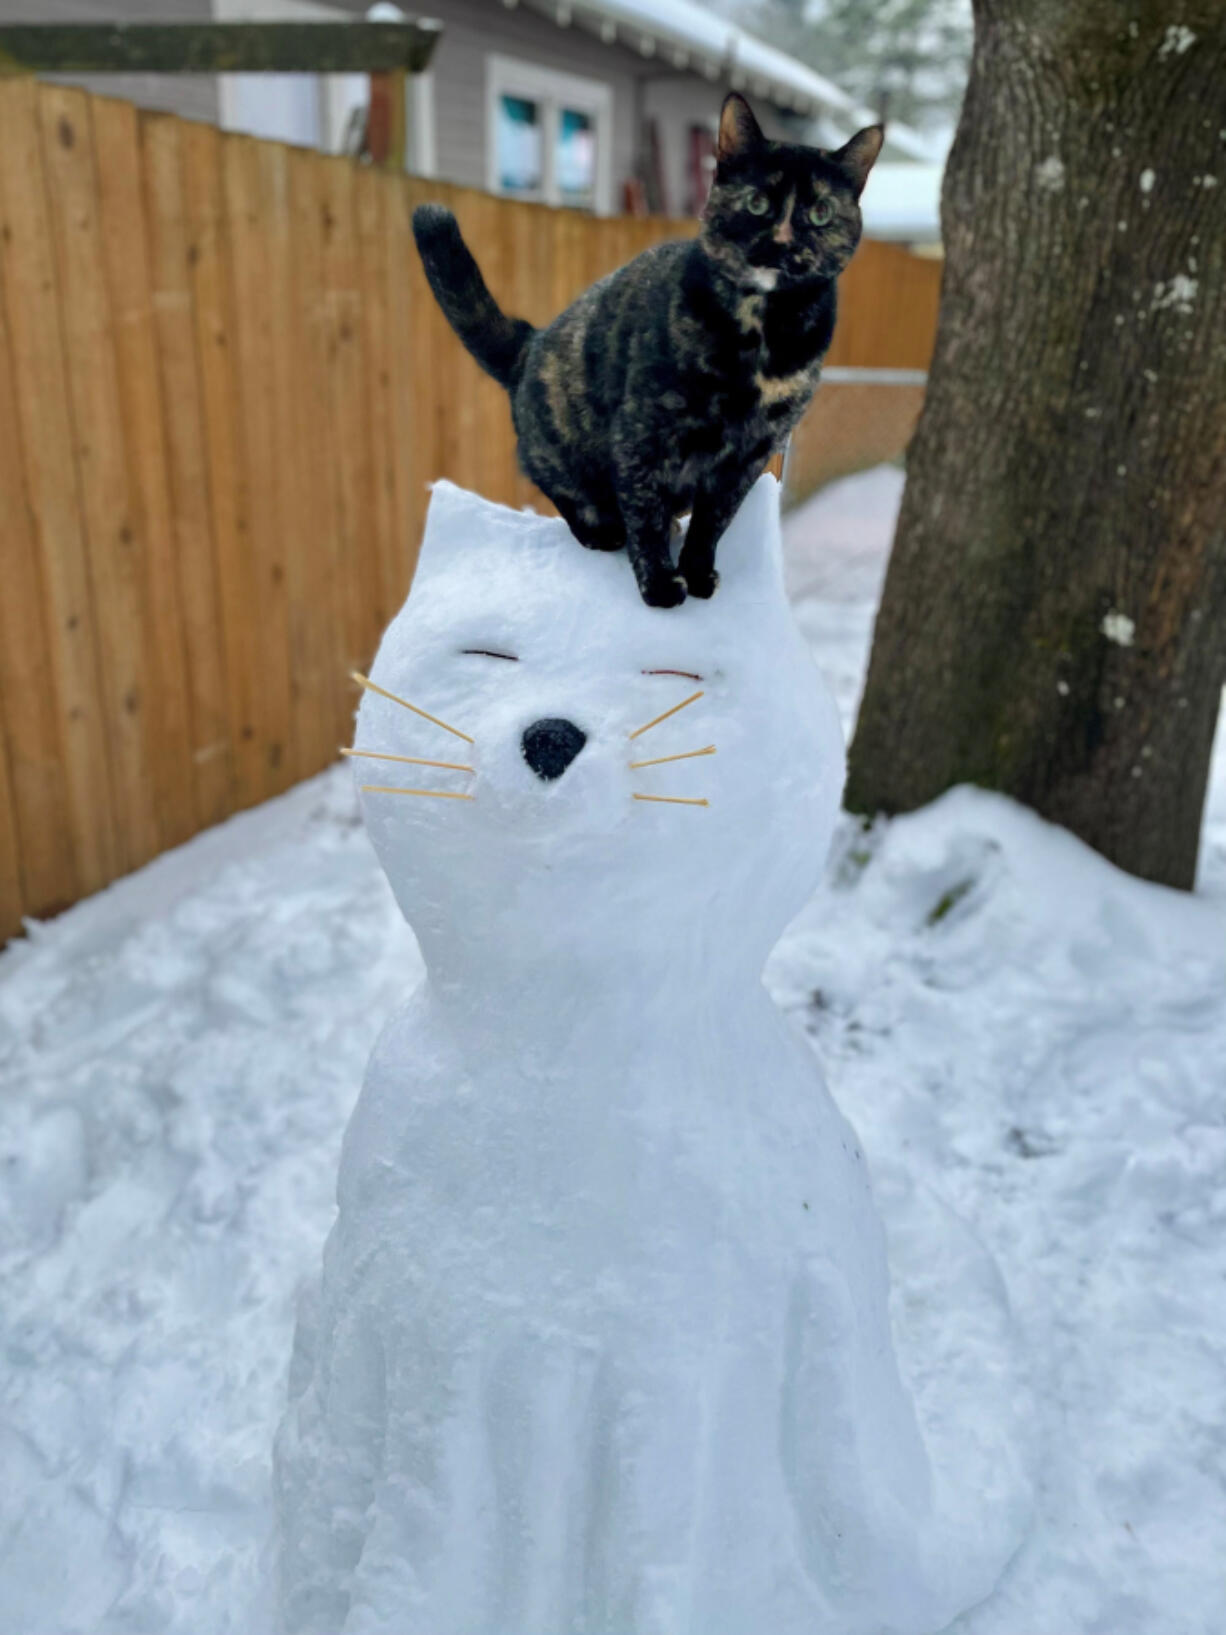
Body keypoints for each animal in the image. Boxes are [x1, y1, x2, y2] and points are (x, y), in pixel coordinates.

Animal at [413, 94, 882, 608]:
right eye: (758, 203)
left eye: (820, 213)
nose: (782, 242)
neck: (762, 335)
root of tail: (530, 342)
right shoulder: (643, 435)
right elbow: (645, 514)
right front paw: (658, 583)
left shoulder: (749, 456)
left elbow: (713, 524)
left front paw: (696, 573)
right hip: (563, 448)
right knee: (557, 484)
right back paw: (601, 531)